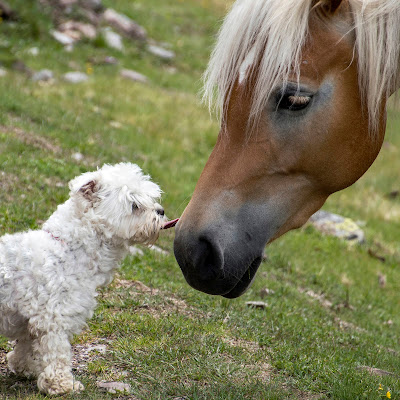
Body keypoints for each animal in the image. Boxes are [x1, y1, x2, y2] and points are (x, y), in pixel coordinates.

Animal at [0, 164, 166, 396]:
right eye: (135, 205)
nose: (161, 211)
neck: (69, 250)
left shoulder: (32, 319)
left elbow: (27, 346)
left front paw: (25, 368)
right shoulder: (56, 318)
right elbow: (57, 354)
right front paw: (61, 385)